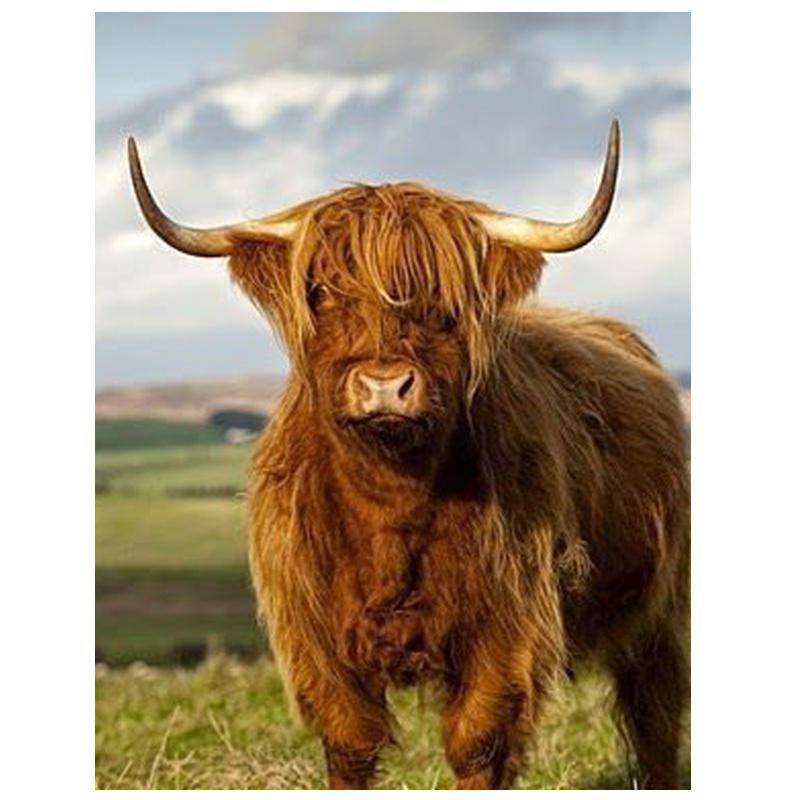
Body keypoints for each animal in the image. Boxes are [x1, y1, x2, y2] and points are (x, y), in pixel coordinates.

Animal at [128, 120, 689, 790]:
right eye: (321, 291)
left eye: (442, 301)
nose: (385, 386)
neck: (390, 505)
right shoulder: (317, 643)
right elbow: (350, 747)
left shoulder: (505, 628)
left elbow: (478, 745)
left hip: (663, 613)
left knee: (654, 719)